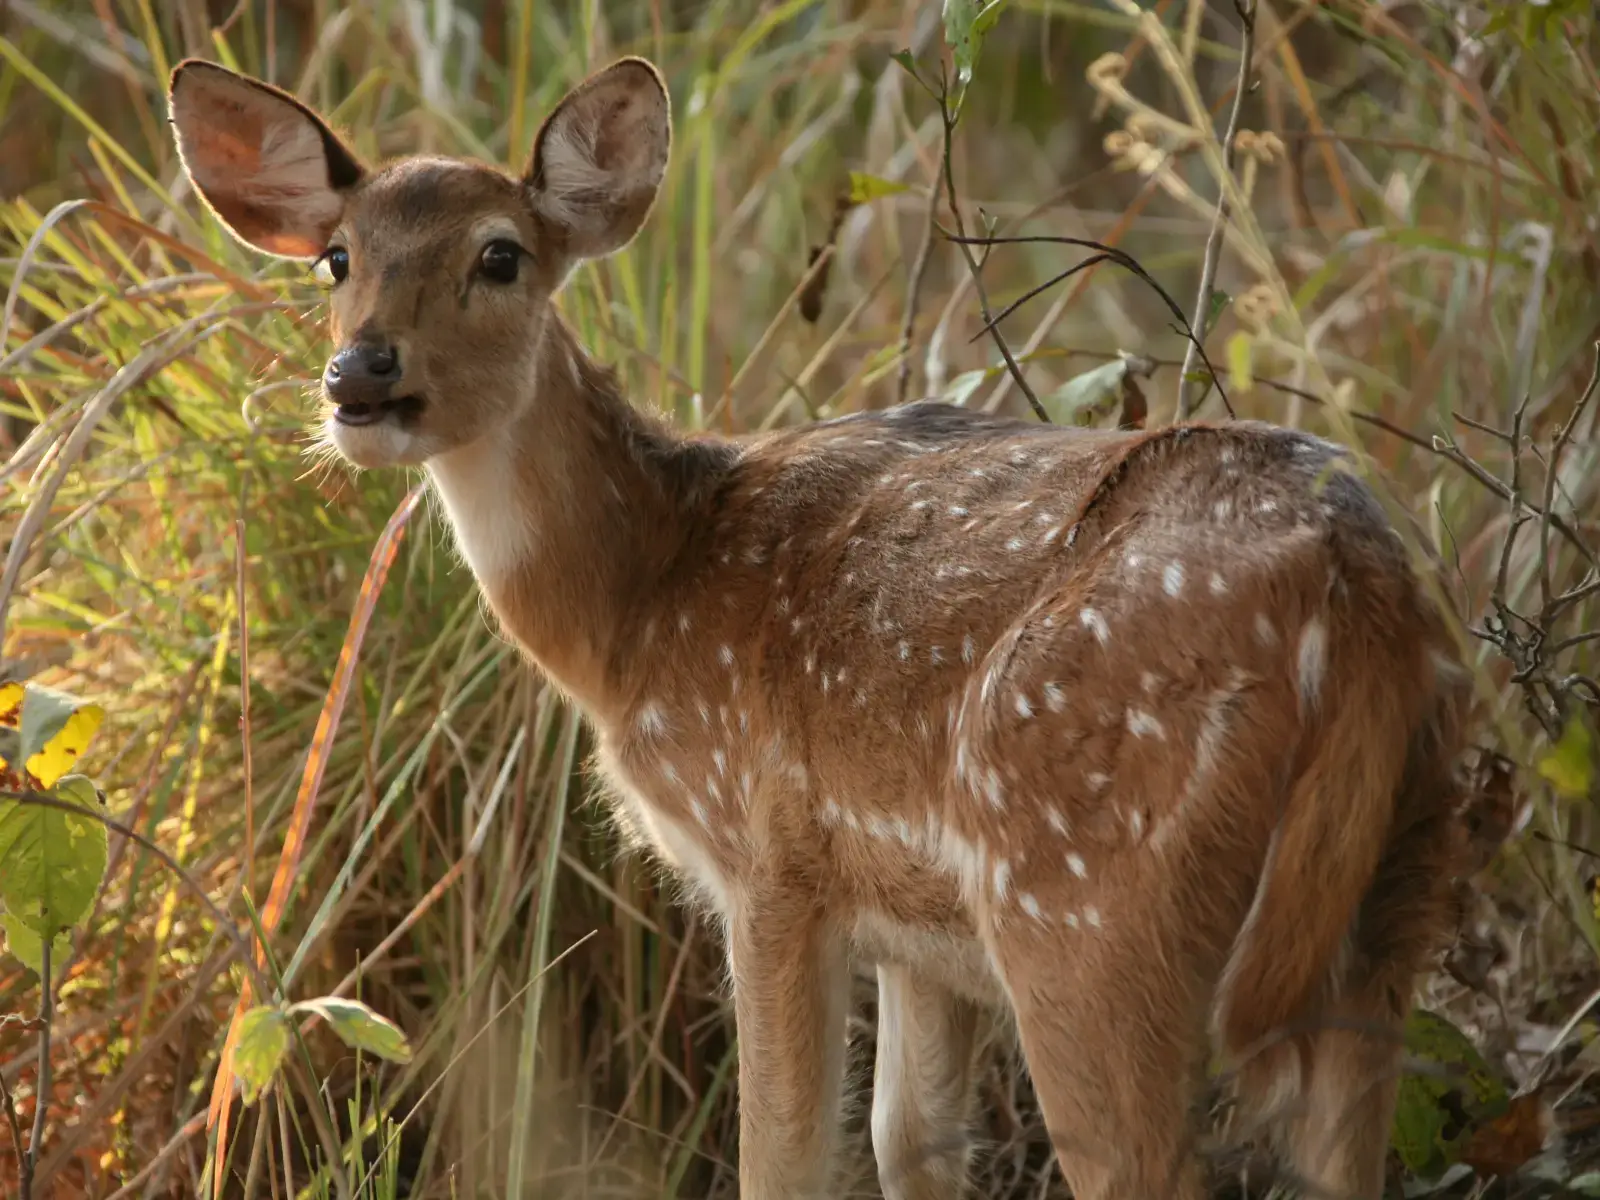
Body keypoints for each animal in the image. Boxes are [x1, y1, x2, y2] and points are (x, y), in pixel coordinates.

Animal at [172, 56, 1472, 1200]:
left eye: (500, 255)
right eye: (338, 257)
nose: (360, 375)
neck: (636, 607)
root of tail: (1352, 584)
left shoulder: (771, 856)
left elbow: (786, 1160)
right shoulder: (916, 929)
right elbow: (909, 1144)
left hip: (1083, 901)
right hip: (1395, 889)